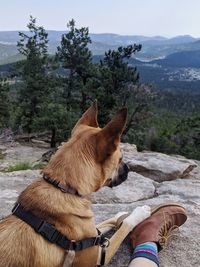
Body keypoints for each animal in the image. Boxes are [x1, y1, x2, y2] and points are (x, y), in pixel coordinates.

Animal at [0, 103, 150, 267]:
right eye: (120, 158)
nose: (129, 168)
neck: (63, 187)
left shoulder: (93, 235)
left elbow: (105, 224)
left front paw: (119, 215)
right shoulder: (97, 257)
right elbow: (124, 227)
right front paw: (139, 213)